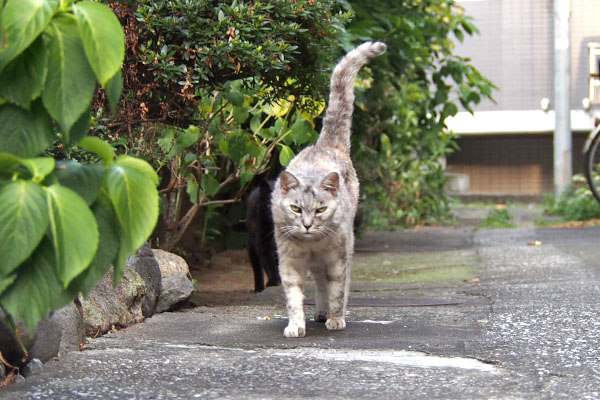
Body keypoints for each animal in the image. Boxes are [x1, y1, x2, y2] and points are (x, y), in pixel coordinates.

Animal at [270, 41, 386, 338]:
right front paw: (296, 325)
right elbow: (294, 296)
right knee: (319, 285)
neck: (311, 244)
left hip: (347, 247)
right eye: (295, 208)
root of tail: (326, 145)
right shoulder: (289, 262)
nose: (308, 225)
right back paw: (319, 313)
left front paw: (336, 319)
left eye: (321, 209)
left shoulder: (336, 259)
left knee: (335, 284)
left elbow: (337, 289)